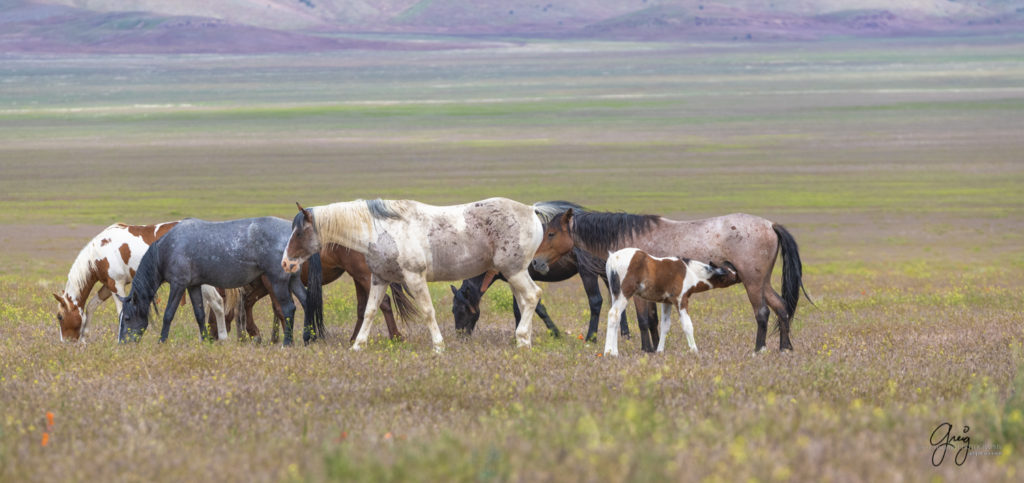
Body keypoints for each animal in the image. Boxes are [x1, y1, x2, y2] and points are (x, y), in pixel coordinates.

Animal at [118, 216, 323, 345]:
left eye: (126, 318)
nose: (121, 344)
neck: (168, 248)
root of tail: (292, 232)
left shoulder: (178, 285)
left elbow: (169, 314)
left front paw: (162, 341)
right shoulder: (193, 286)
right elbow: (200, 314)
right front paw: (205, 340)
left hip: (279, 282)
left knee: (289, 309)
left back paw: (288, 342)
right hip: (293, 280)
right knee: (307, 302)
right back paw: (308, 338)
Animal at [284, 198, 548, 352]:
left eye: (299, 232)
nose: (285, 263)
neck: (382, 230)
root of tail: (531, 210)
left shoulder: (414, 278)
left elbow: (428, 312)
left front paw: (438, 347)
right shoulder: (378, 279)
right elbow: (370, 311)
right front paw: (357, 346)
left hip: (514, 271)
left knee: (532, 296)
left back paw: (522, 337)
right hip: (513, 274)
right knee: (525, 301)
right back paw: (524, 342)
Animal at [602, 248, 741, 354]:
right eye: (728, 272)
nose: (739, 275)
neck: (689, 272)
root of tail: (613, 258)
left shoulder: (666, 302)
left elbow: (665, 326)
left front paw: (660, 351)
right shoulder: (681, 300)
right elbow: (687, 325)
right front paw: (694, 350)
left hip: (615, 295)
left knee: (617, 317)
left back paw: (614, 351)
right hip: (624, 294)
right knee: (613, 314)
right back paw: (609, 353)